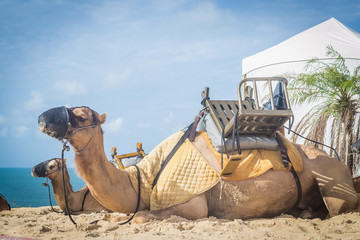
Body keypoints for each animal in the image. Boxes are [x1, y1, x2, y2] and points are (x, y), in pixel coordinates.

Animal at [38, 106, 358, 222]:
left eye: (81, 115)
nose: (42, 118)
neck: (143, 179)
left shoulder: (193, 204)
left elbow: (141, 217)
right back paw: (302, 212)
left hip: (334, 182)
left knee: (340, 208)